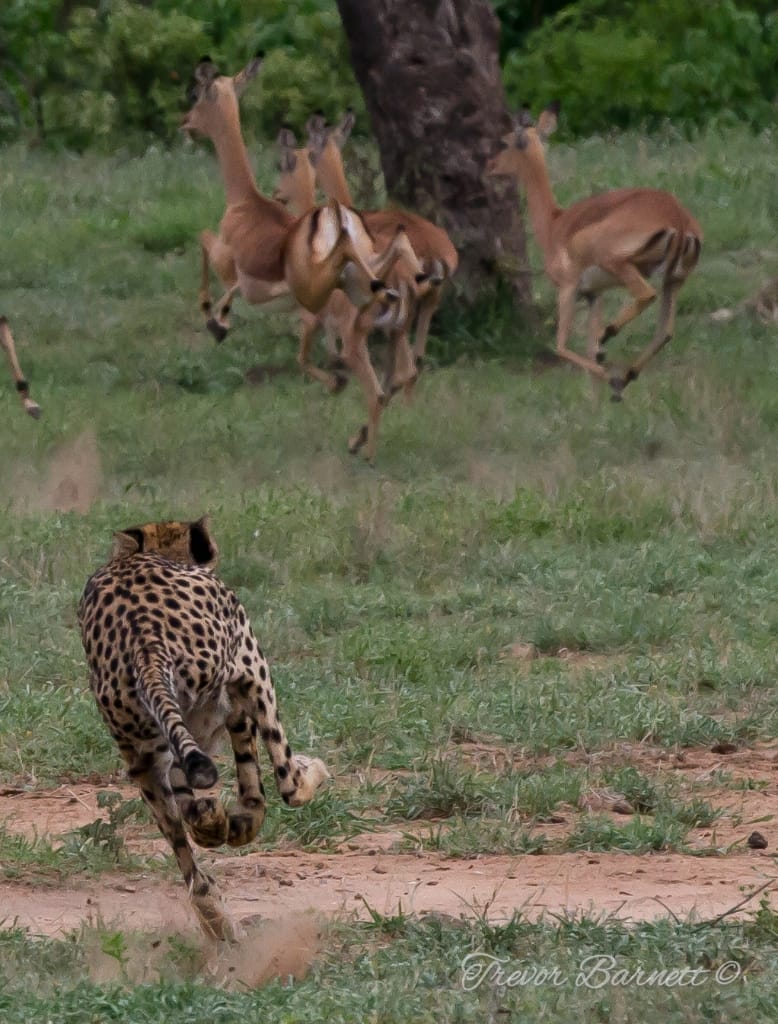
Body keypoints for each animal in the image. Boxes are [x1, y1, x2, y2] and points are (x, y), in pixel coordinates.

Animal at [78, 515, 330, 941]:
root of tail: (143, 641)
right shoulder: (236, 695)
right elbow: (255, 779)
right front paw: (242, 823)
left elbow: (196, 804)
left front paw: (221, 826)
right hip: (252, 665)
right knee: (286, 781)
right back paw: (308, 775)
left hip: (141, 755)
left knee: (189, 857)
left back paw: (217, 917)